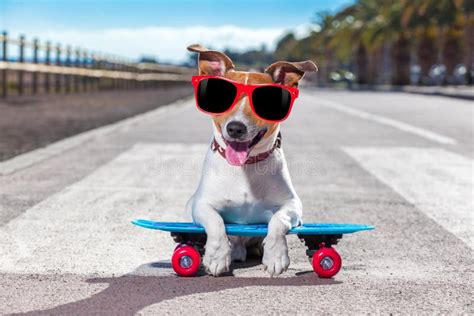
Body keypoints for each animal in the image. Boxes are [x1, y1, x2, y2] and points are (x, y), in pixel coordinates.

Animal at [186, 44, 318, 276]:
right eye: (222, 96)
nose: (235, 128)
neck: (244, 168)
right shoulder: (201, 204)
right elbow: (216, 221)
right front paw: (217, 256)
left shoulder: (292, 204)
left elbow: (277, 221)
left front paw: (276, 255)